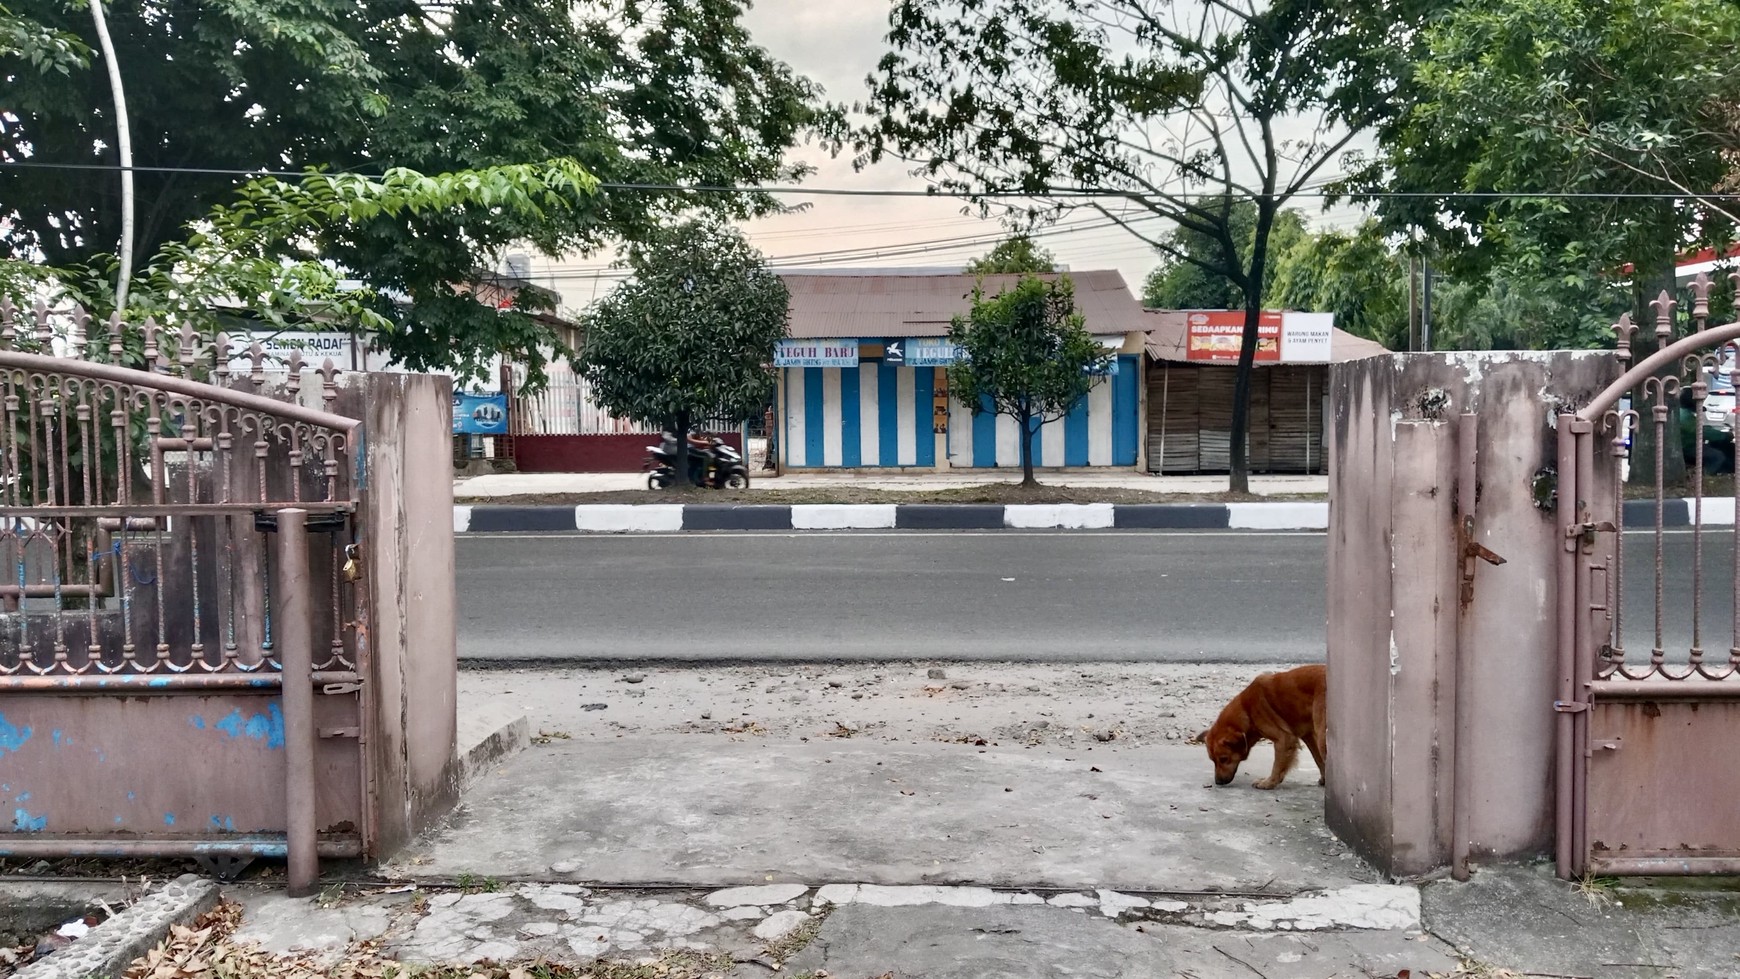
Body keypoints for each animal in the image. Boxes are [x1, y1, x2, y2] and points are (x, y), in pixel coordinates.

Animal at [1190, 664, 1322, 792]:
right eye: (1213, 760)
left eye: (1223, 759)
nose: (1218, 782)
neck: (1247, 710)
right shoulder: (1308, 735)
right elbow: (1319, 759)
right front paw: (1324, 780)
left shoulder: (1284, 739)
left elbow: (1277, 766)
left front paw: (1269, 783)